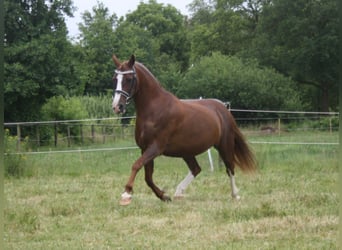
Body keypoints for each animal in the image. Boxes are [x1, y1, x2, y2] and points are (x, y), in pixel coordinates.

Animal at [112, 54, 256, 205]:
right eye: (115, 79)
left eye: (128, 79)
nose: (117, 107)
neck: (154, 109)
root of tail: (223, 109)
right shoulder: (145, 148)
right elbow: (148, 177)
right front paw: (164, 196)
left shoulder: (155, 148)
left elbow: (136, 165)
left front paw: (126, 194)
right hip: (187, 151)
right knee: (196, 169)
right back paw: (178, 192)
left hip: (224, 145)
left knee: (230, 168)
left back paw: (235, 195)